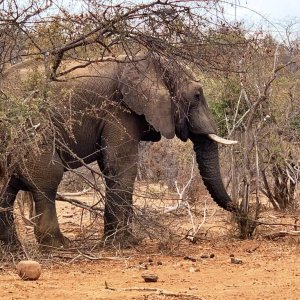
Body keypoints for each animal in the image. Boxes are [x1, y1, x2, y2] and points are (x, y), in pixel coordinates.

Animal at [0, 54, 238, 248]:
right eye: (197, 95)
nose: (241, 210)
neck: (146, 60)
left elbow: (110, 167)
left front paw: (127, 241)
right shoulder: (120, 109)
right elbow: (121, 165)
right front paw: (121, 244)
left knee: (8, 187)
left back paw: (12, 248)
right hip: (29, 129)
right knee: (47, 178)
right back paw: (58, 246)